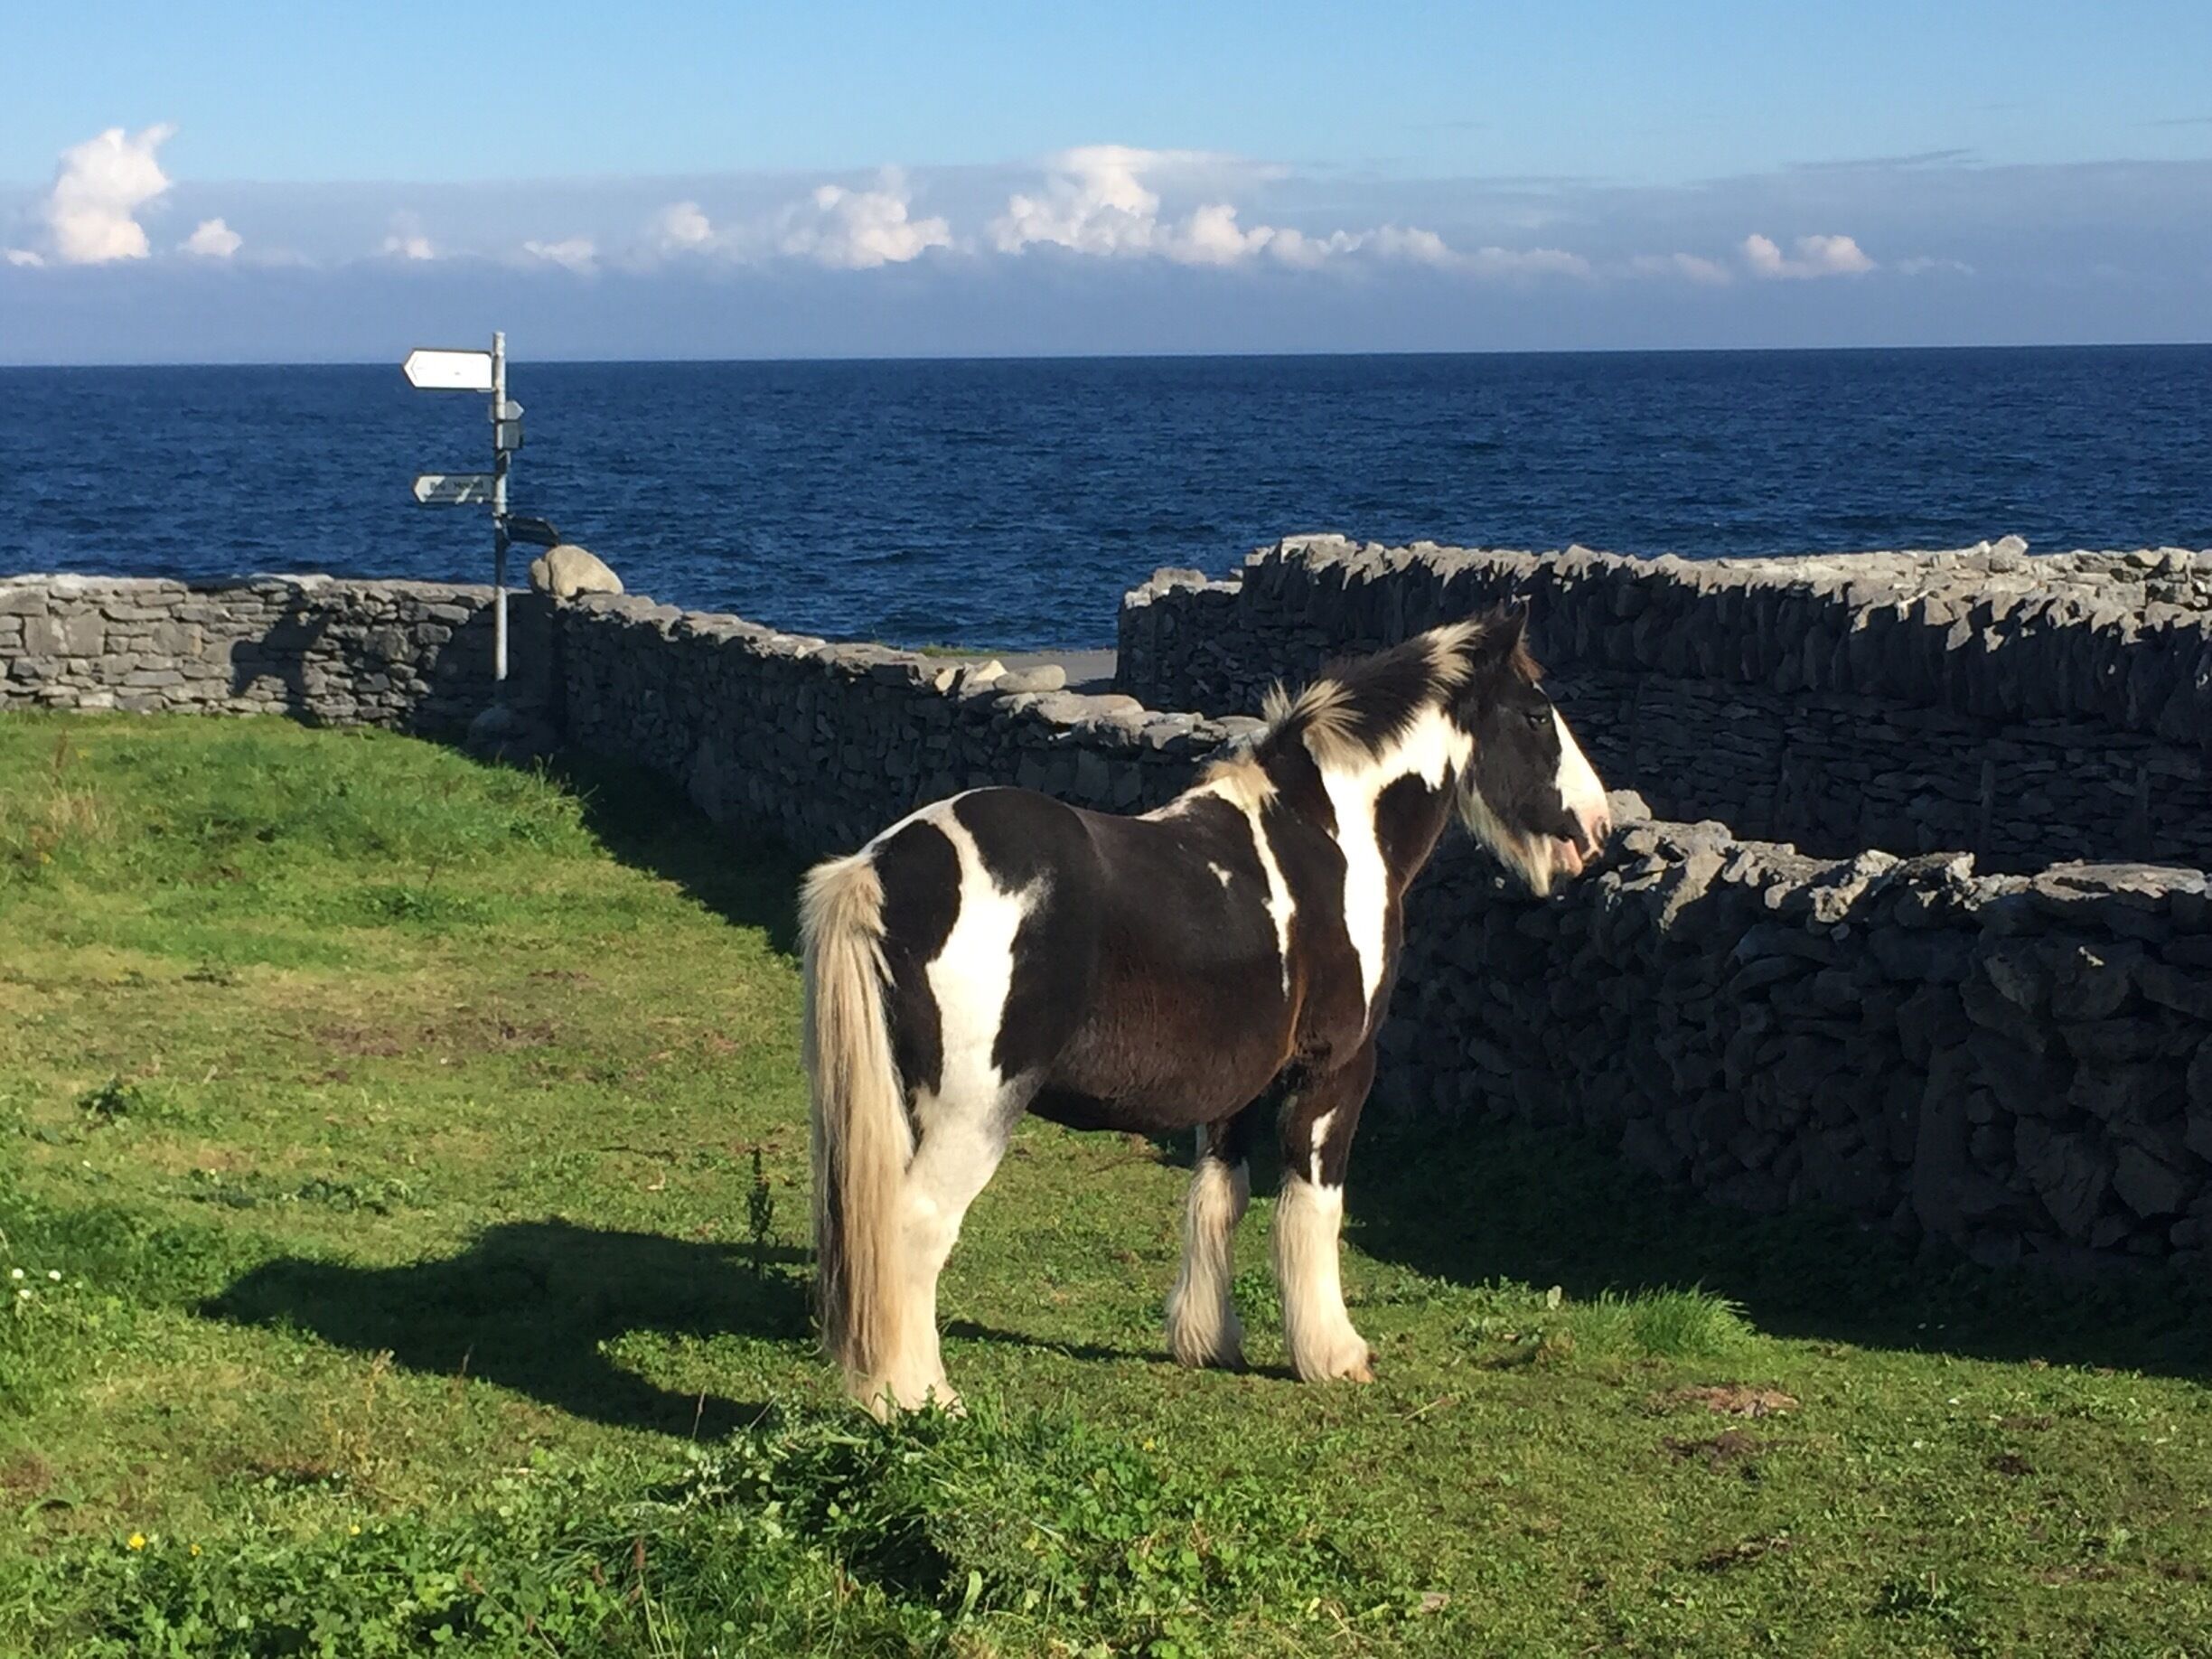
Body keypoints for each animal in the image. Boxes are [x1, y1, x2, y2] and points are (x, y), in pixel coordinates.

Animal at [800, 604, 1611, 1415]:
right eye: (1537, 712)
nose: (1596, 826)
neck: (1328, 838)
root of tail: (884, 869)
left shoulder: (1235, 1089)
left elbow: (1220, 1197)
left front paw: (1207, 1340)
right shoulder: (1336, 1072)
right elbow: (1312, 1206)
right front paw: (1333, 1354)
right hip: (972, 1111)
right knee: (913, 1230)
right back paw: (915, 1398)